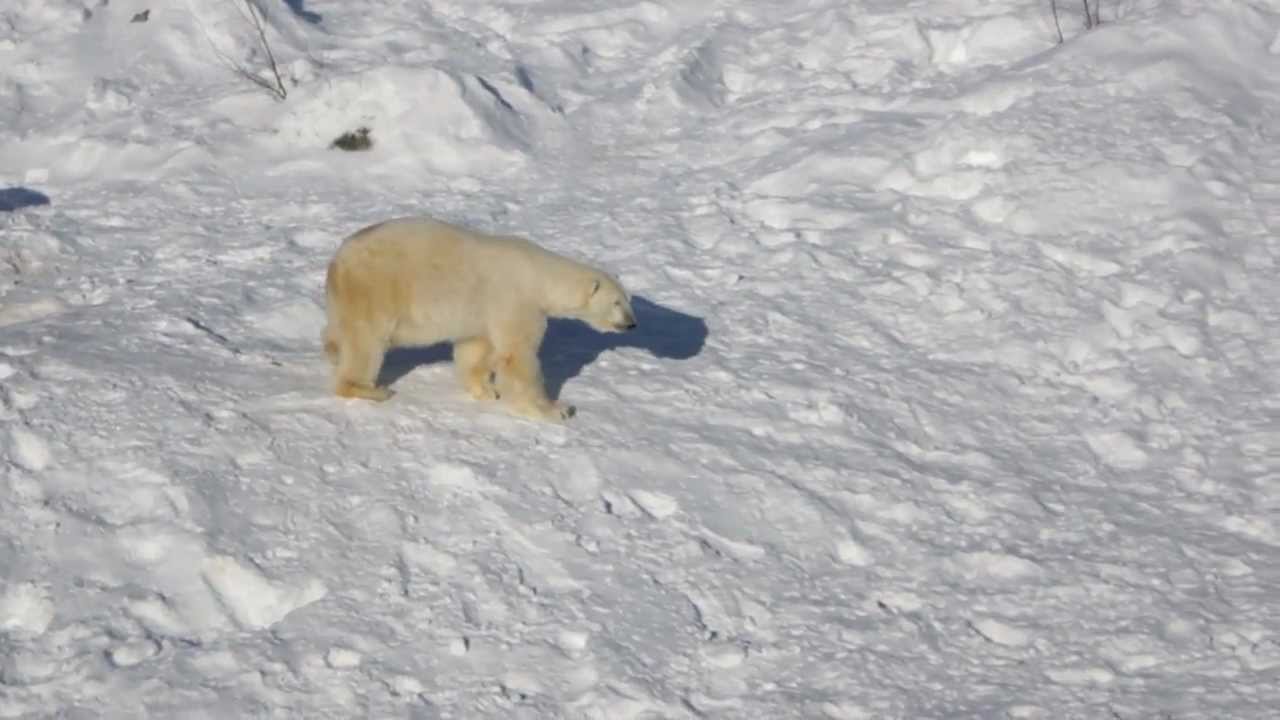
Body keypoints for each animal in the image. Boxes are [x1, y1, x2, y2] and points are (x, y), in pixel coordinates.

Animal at [321, 215, 636, 422]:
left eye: (629, 300)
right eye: (617, 302)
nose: (632, 324)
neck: (540, 276)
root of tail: (337, 261)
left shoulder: (483, 311)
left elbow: (476, 348)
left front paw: (486, 390)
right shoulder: (516, 301)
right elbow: (517, 356)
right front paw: (557, 409)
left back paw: (333, 351)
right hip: (375, 290)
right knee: (367, 343)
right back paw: (371, 389)